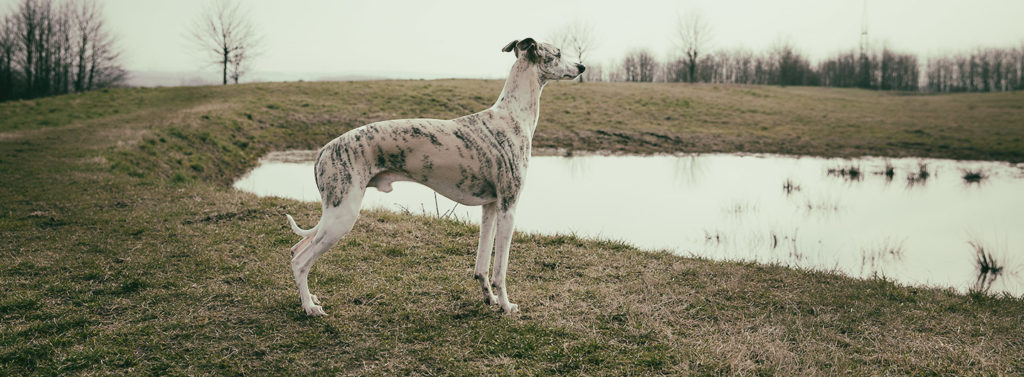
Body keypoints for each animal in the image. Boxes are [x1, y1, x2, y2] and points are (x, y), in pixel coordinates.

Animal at [286, 37, 585, 315]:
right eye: (558, 53)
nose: (582, 67)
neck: (512, 116)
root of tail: (323, 150)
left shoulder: (490, 207)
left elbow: (481, 265)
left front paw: (488, 298)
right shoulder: (508, 207)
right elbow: (500, 269)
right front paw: (505, 306)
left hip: (334, 214)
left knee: (297, 249)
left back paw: (310, 298)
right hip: (342, 215)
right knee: (301, 261)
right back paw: (309, 308)